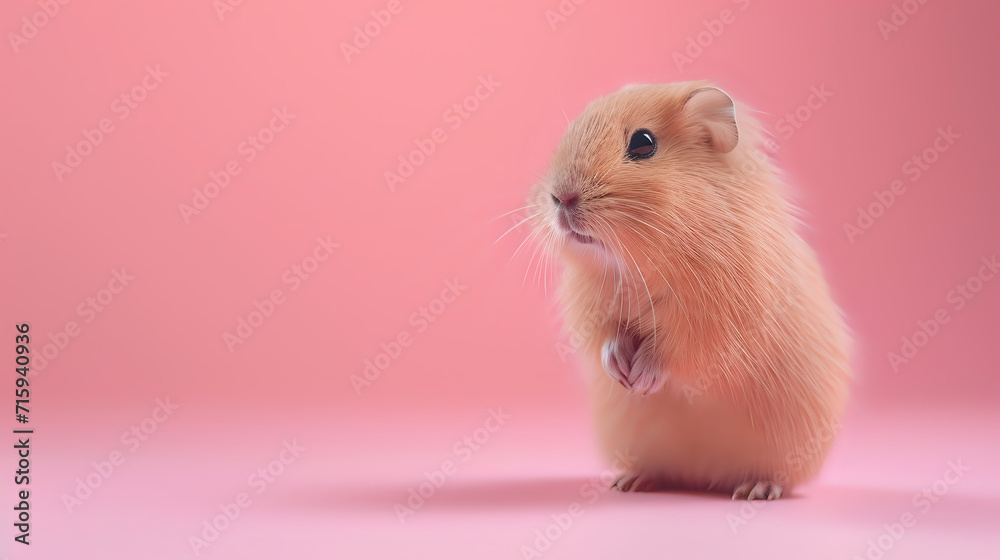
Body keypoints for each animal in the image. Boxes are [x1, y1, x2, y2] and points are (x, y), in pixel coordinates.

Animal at [528, 82, 848, 498]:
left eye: (643, 143)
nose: (559, 198)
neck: (635, 265)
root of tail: (705, 477)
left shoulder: (715, 324)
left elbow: (672, 352)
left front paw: (640, 379)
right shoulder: (594, 310)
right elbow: (607, 339)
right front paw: (621, 373)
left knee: (775, 476)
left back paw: (755, 490)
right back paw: (629, 482)